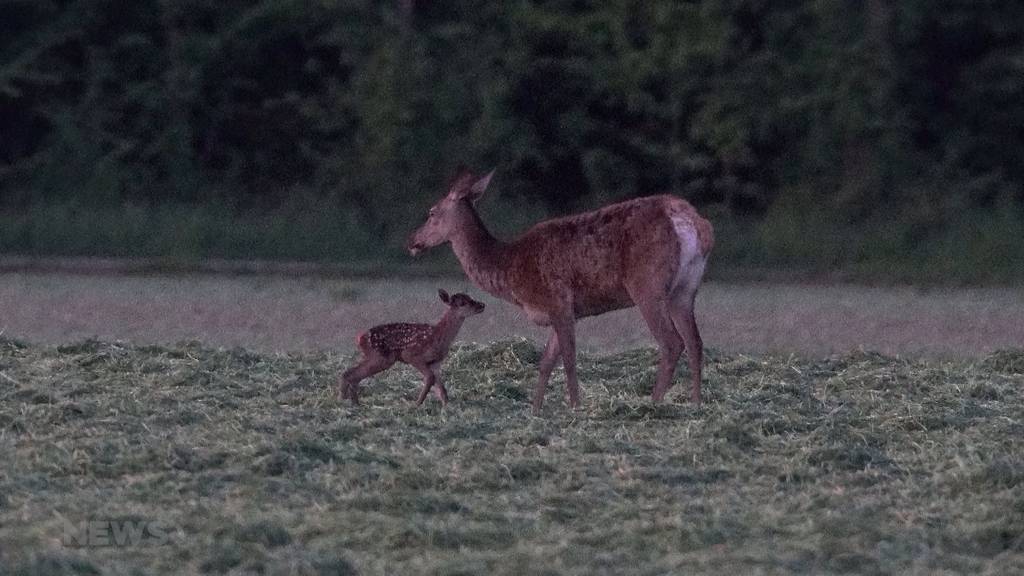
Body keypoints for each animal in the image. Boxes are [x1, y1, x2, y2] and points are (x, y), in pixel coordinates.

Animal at [407, 168, 712, 409]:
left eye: (432, 212)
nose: (412, 241)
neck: (509, 268)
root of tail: (691, 223)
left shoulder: (557, 301)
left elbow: (568, 359)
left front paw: (575, 407)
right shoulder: (562, 311)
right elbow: (545, 363)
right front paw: (536, 411)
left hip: (647, 284)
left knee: (672, 342)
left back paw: (654, 403)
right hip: (685, 288)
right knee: (695, 342)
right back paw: (696, 404)